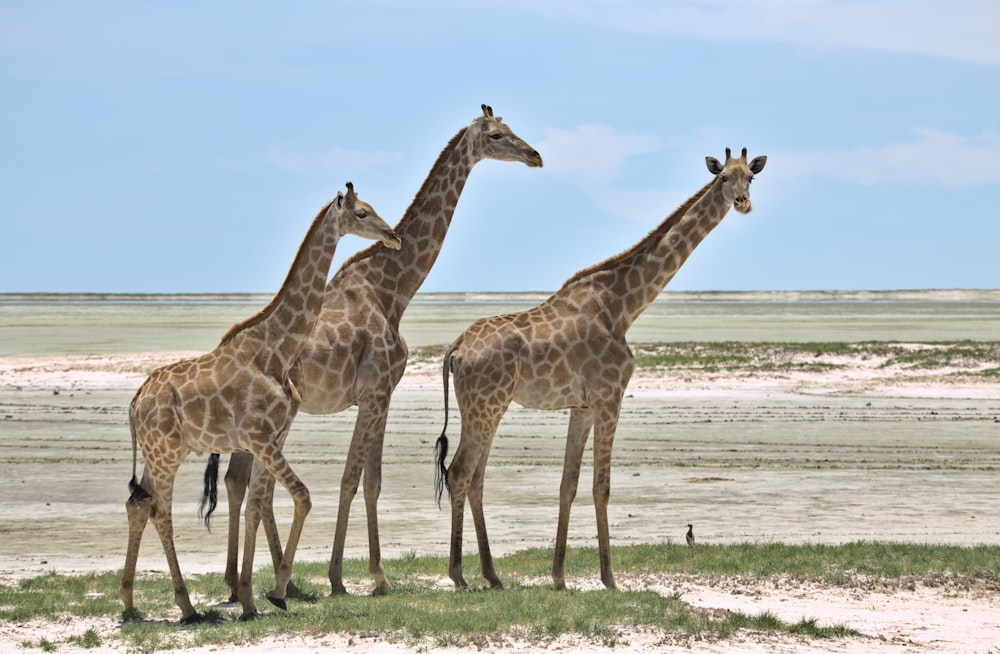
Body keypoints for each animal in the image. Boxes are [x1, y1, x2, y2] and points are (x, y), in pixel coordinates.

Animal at [123, 184, 404, 624]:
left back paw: (130, 603)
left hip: (162, 453)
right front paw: (275, 591)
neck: (277, 348)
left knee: (139, 505)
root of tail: (134, 404)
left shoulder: (264, 439)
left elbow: (257, 505)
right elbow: (301, 496)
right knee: (160, 512)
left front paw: (252, 599)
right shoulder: (260, 437)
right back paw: (186, 606)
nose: (392, 236)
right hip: (165, 453)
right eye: (361, 212)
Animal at [204, 105, 544, 604]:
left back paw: (248, 583)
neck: (394, 289)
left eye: (512, 127)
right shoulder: (376, 392)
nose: (535, 155)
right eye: (498, 135)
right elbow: (354, 479)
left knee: (236, 480)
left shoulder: (383, 394)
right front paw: (350, 577)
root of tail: (222, 347)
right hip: (275, 417)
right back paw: (268, 583)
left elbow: (372, 480)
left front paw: (365, 575)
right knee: (246, 483)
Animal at [434, 151, 768, 592]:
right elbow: (601, 487)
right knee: (459, 472)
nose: (743, 202)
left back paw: (492, 574)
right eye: (723, 178)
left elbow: (568, 485)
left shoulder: (582, 407)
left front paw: (559, 577)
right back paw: (458, 575)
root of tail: (455, 348)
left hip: (487, 407)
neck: (623, 305)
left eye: (751, 177)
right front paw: (610, 579)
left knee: (475, 478)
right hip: (485, 405)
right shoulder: (611, 396)